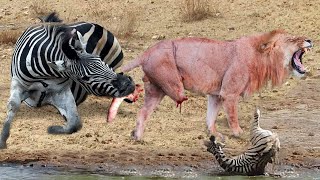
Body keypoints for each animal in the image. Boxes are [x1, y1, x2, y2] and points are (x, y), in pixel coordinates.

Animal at [0, 15, 135, 148]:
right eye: (83, 78)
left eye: (101, 60)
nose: (128, 85)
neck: (45, 73)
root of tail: (95, 26)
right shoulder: (18, 84)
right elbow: (13, 105)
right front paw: (3, 139)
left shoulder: (61, 91)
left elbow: (75, 123)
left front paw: (54, 129)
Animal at [120, 29, 312, 141]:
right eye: (292, 39)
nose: (310, 40)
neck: (261, 58)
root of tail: (147, 52)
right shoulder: (229, 93)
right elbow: (233, 115)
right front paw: (239, 133)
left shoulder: (216, 94)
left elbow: (211, 116)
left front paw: (214, 134)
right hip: (172, 83)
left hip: (156, 90)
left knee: (142, 112)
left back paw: (138, 137)